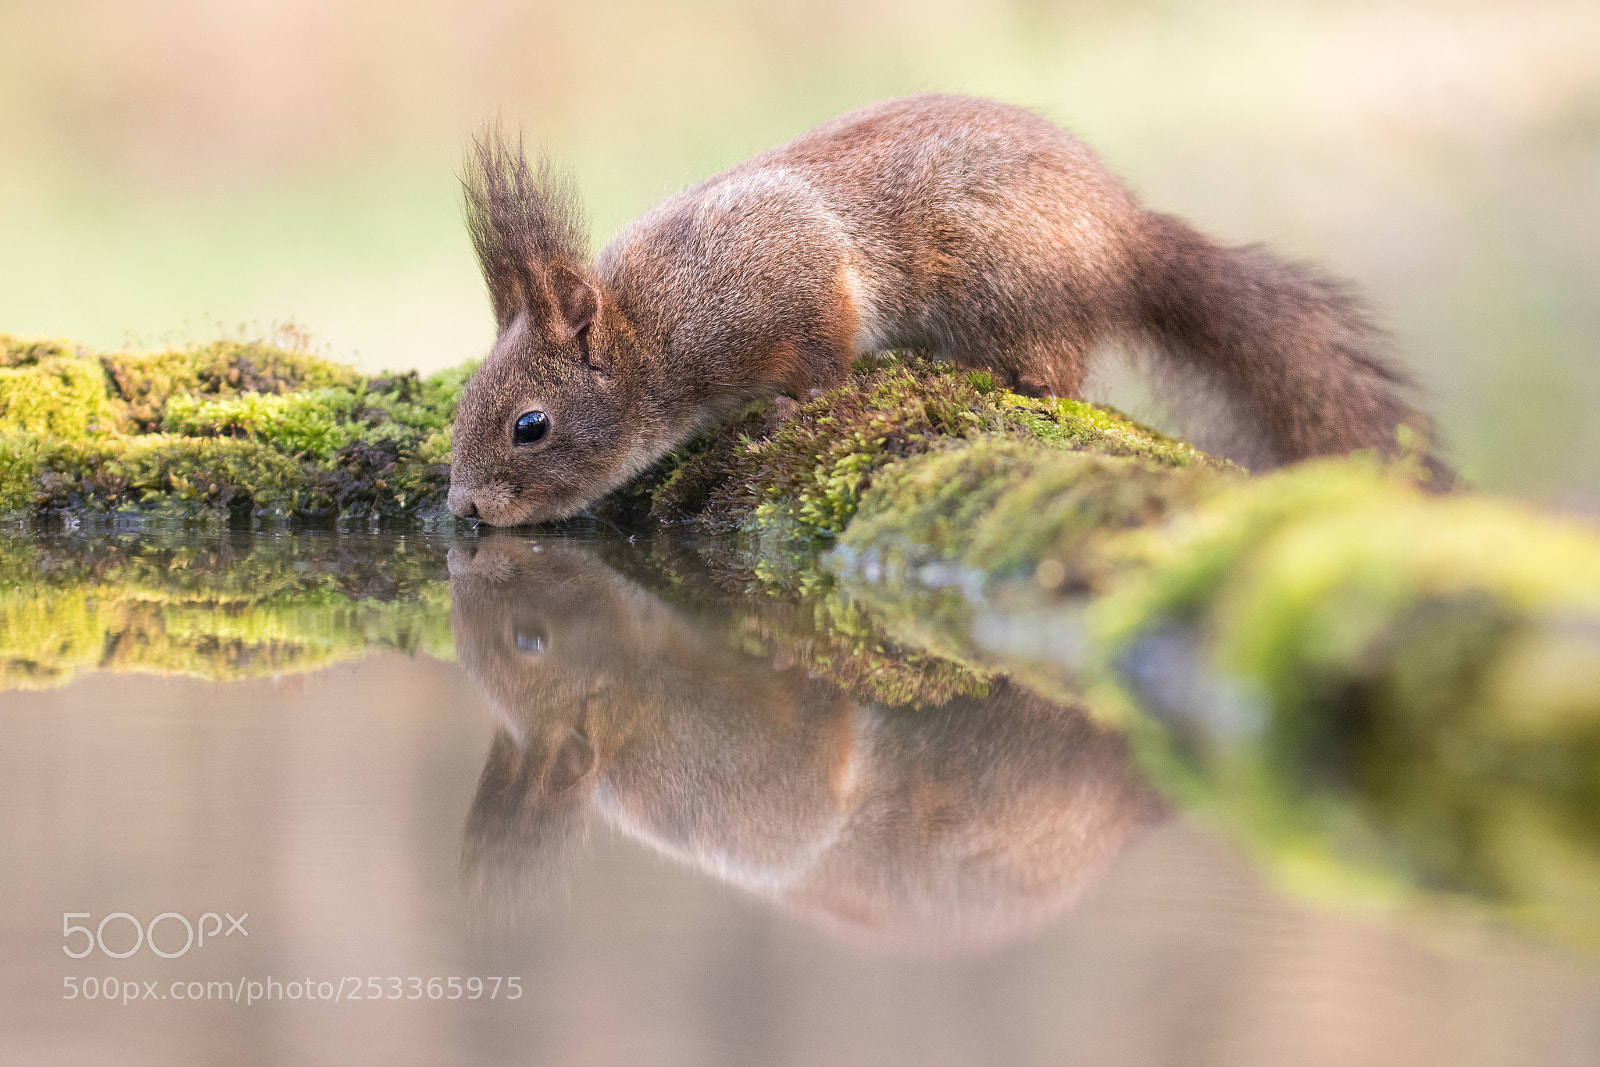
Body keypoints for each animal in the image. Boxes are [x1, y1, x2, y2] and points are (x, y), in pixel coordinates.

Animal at [447, 93, 1438, 526]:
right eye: (461, 407)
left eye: (529, 426)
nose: (463, 508)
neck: (649, 331)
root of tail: (1125, 239)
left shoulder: (787, 271)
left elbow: (825, 351)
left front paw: (791, 410)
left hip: (1008, 281)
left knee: (1060, 371)